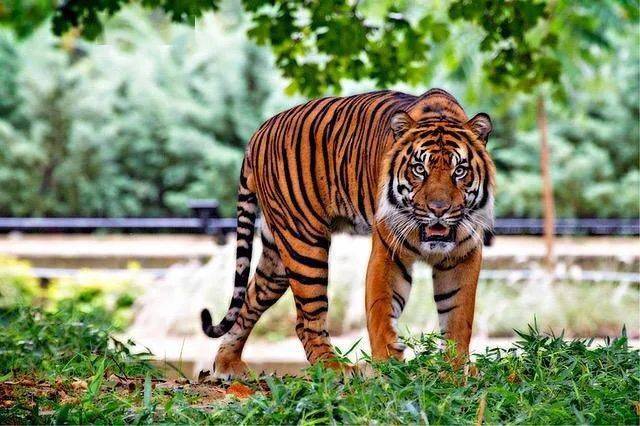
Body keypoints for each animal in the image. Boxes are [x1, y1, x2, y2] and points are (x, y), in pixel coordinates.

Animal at [200, 87, 496, 380]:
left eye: (459, 171)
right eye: (419, 169)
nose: (438, 209)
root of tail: (259, 131)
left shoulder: (463, 255)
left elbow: (458, 317)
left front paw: (454, 370)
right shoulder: (388, 252)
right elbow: (381, 311)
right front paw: (388, 368)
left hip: (277, 258)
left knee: (250, 301)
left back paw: (227, 364)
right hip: (304, 244)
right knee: (306, 320)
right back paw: (335, 369)